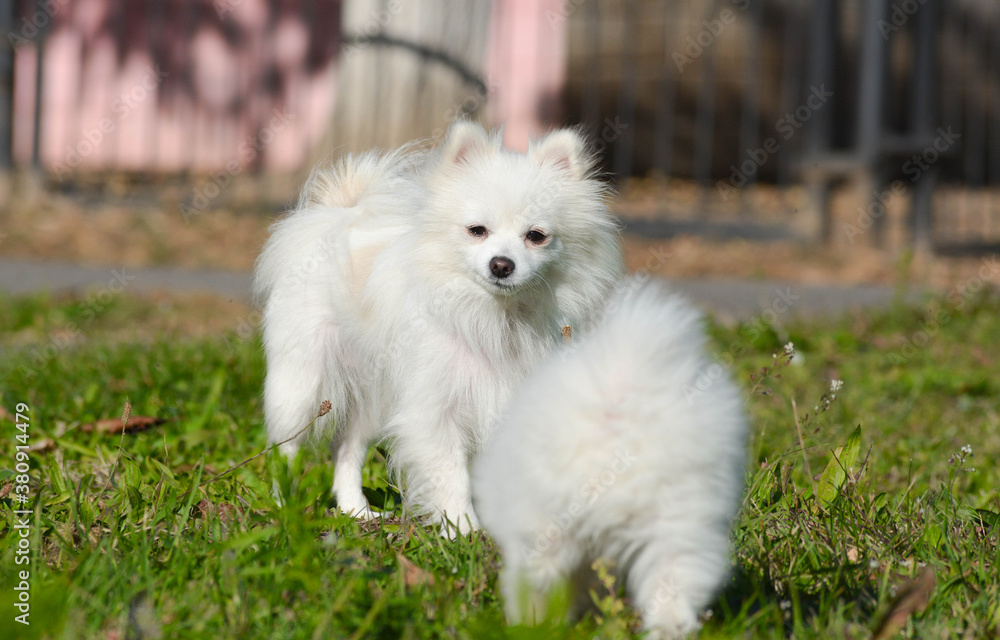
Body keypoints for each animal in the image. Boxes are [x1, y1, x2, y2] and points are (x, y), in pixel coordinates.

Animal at [252, 122, 624, 532]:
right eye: (477, 230)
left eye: (536, 236)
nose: (501, 264)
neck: (495, 317)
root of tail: (337, 215)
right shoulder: (434, 410)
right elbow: (451, 474)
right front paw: (462, 529)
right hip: (302, 387)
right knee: (286, 449)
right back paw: (284, 507)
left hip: (372, 397)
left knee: (346, 449)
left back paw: (357, 511)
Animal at [472, 276, 748, 640]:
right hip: (680, 519)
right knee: (673, 578)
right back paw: (669, 628)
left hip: (548, 525)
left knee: (539, 580)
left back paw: (533, 624)